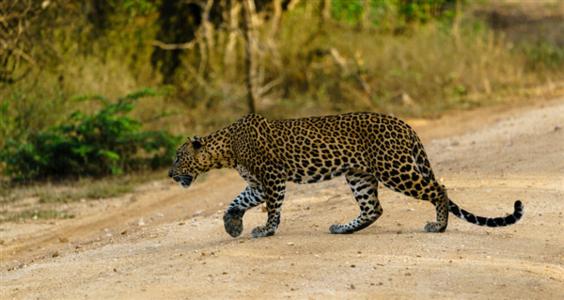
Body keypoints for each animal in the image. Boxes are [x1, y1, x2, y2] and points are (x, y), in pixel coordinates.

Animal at [169, 111, 524, 238]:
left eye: (178, 157)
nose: (170, 174)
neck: (226, 148)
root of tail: (406, 125)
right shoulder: (257, 184)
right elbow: (236, 201)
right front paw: (232, 225)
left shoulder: (272, 178)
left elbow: (273, 209)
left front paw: (265, 230)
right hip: (359, 175)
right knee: (373, 208)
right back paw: (343, 228)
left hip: (394, 169)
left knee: (440, 188)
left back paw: (439, 226)